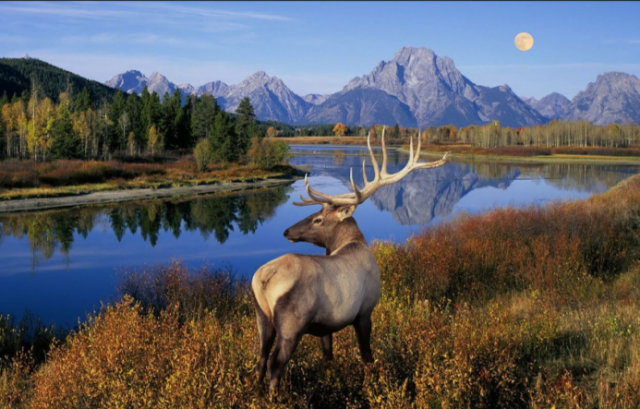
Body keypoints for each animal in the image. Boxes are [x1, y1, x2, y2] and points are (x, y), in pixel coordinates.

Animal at [248, 127, 448, 388]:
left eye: (318, 219)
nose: (287, 231)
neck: (353, 242)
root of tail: (263, 279)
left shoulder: (325, 326)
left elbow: (328, 356)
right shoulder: (365, 311)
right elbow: (367, 356)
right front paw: (372, 382)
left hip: (262, 317)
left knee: (261, 359)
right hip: (292, 324)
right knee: (275, 363)